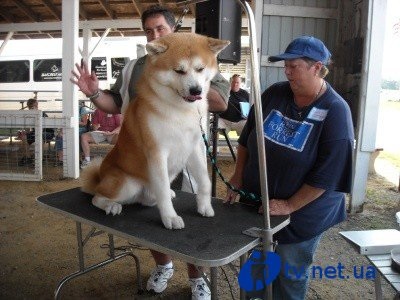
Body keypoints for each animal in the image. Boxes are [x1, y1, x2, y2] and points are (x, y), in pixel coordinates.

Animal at [80, 32, 230, 229]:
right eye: (179, 71)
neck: (180, 110)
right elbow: (163, 191)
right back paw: (111, 205)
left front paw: (204, 206)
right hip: (127, 183)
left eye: (200, 69)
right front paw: (170, 218)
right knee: (97, 197)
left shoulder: (195, 147)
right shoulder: (157, 152)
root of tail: (100, 177)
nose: (196, 90)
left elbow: (204, 182)